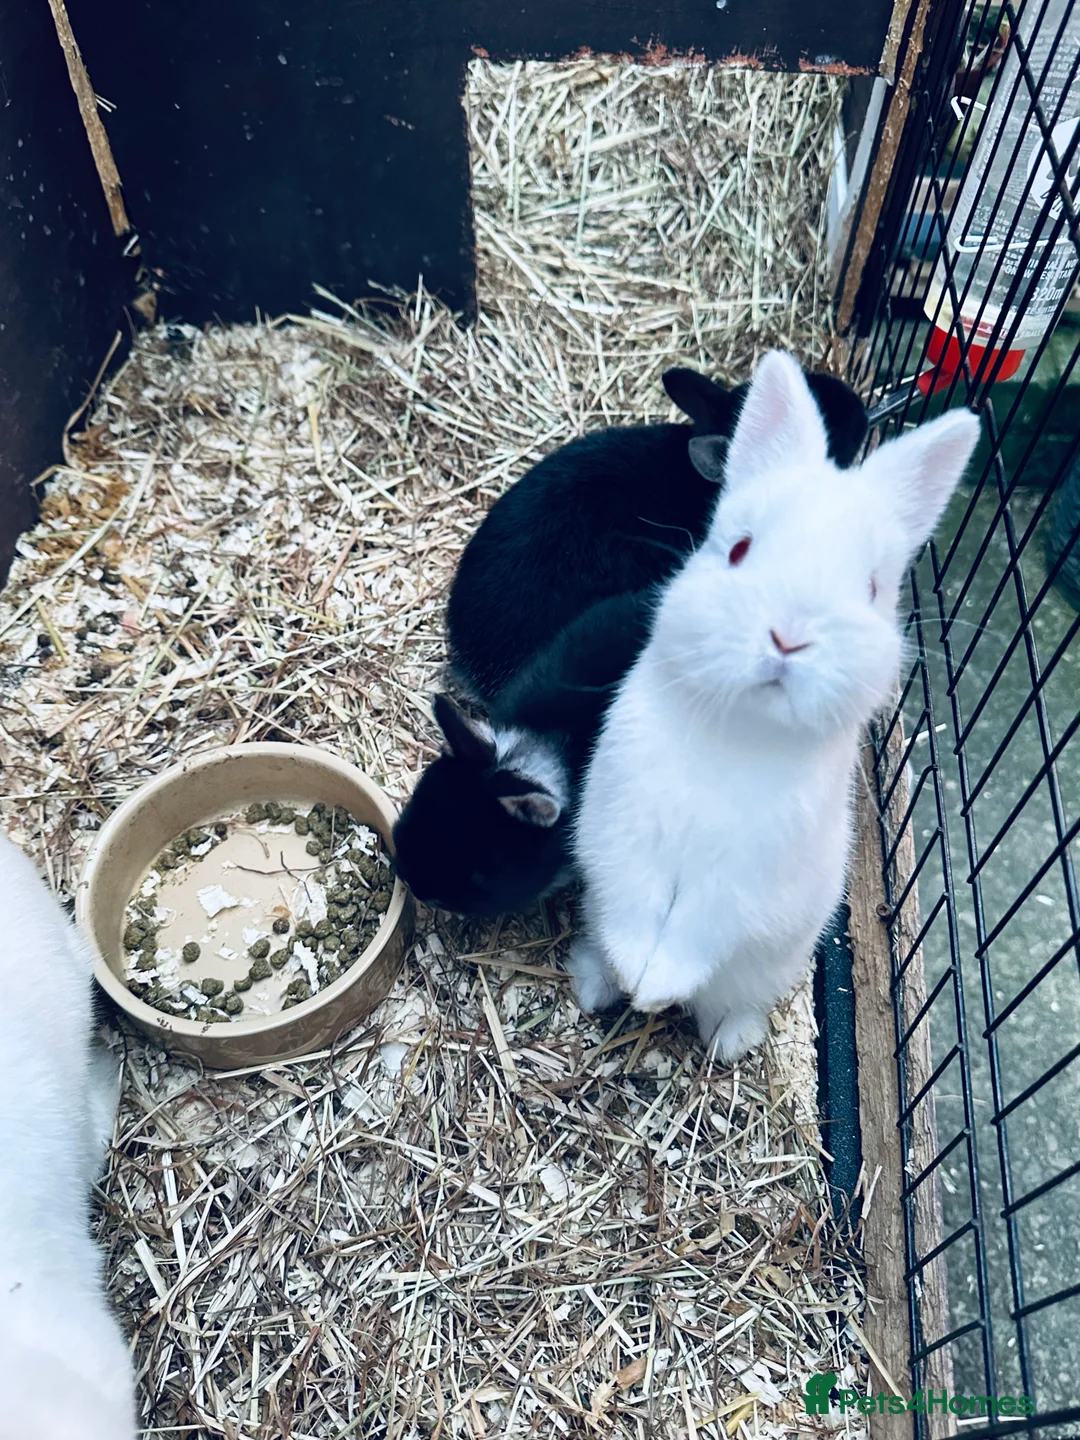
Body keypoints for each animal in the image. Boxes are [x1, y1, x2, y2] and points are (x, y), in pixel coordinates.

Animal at [568, 350, 980, 1063]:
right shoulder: (623, 833)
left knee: (730, 1003)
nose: (788, 637)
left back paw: (728, 1041)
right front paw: (636, 979)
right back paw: (598, 983)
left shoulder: (741, 885)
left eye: (873, 589)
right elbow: (633, 903)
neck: (739, 731)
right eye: (738, 548)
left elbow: (699, 932)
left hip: (766, 968)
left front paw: (656, 988)